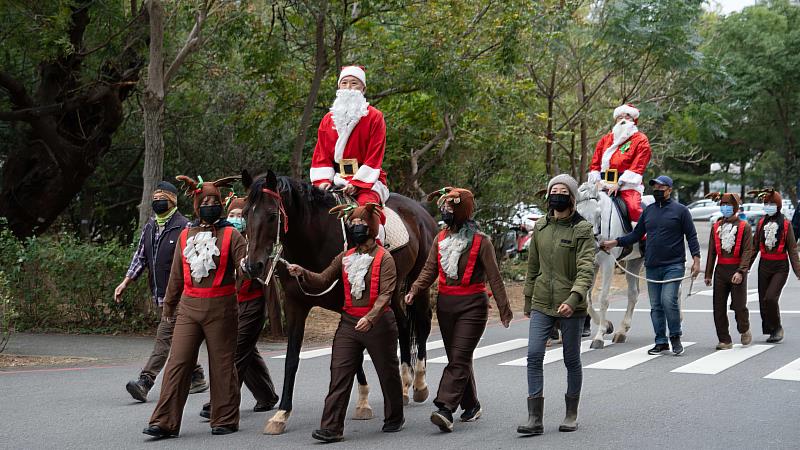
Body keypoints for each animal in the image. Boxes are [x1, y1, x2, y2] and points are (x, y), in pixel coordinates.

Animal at [244, 169, 438, 432]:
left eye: (273, 215)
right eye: (245, 213)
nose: (253, 266)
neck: (314, 240)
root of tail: (420, 210)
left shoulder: (346, 305)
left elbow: (352, 353)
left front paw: (363, 403)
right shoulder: (295, 306)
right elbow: (292, 359)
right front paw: (281, 413)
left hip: (419, 283)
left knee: (422, 325)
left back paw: (419, 384)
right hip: (394, 289)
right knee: (404, 326)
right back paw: (405, 385)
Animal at [580, 181, 652, 350]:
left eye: (599, 214)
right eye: (579, 215)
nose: (593, 246)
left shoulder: (608, 263)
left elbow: (604, 298)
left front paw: (599, 336)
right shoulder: (591, 265)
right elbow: (586, 299)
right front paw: (607, 326)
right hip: (634, 262)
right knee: (633, 294)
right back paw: (621, 331)